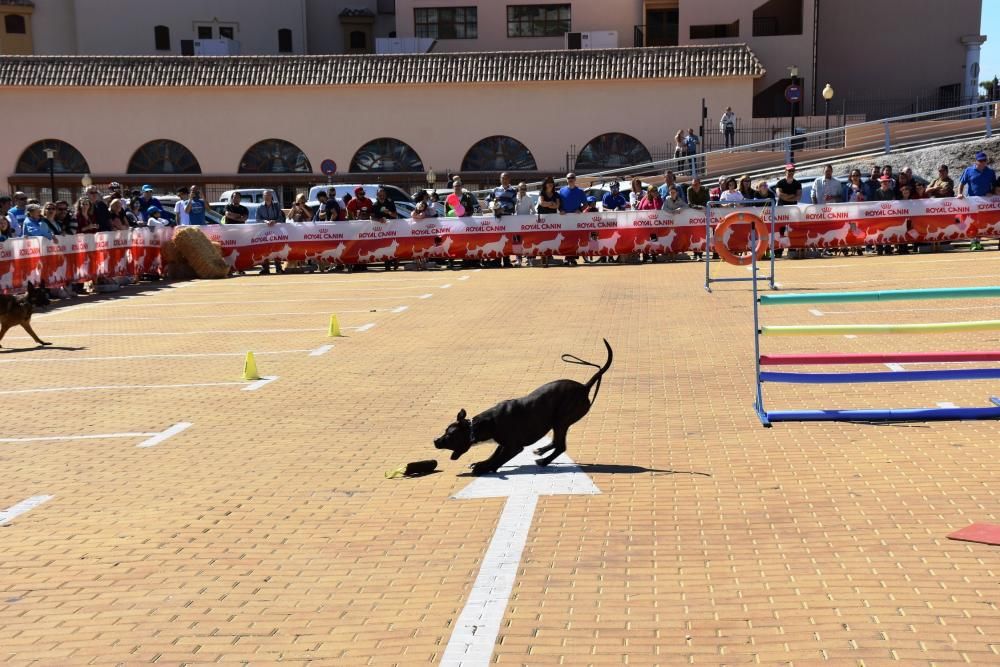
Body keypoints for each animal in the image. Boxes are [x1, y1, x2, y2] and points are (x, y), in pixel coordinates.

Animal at [436, 340, 612, 474]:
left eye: (449, 436)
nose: (435, 441)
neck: (480, 426)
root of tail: (585, 387)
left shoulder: (513, 447)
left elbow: (499, 459)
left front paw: (484, 468)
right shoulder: (503, 443)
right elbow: (494, 455)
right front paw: (483, 463)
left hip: (561, 421)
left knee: (560, 445)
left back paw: (544, 461)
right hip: (557, 423)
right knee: (556, 442)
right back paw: (541, 451)